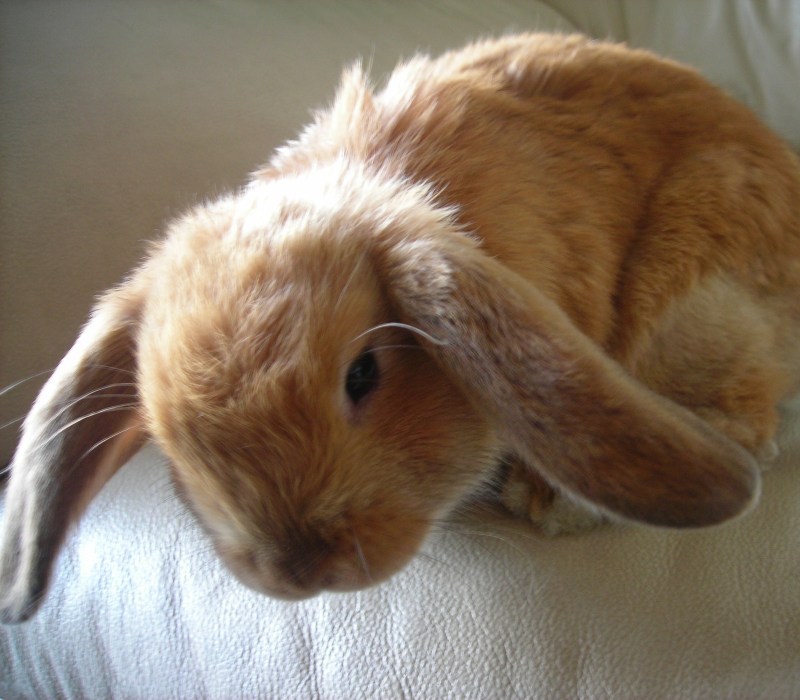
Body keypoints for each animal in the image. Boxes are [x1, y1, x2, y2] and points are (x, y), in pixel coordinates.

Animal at [1, 32, 800, 624]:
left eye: (364, 375)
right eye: (168, 434)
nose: (300, 569)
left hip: (688, 279)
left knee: (748, 425)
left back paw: (552, 500)